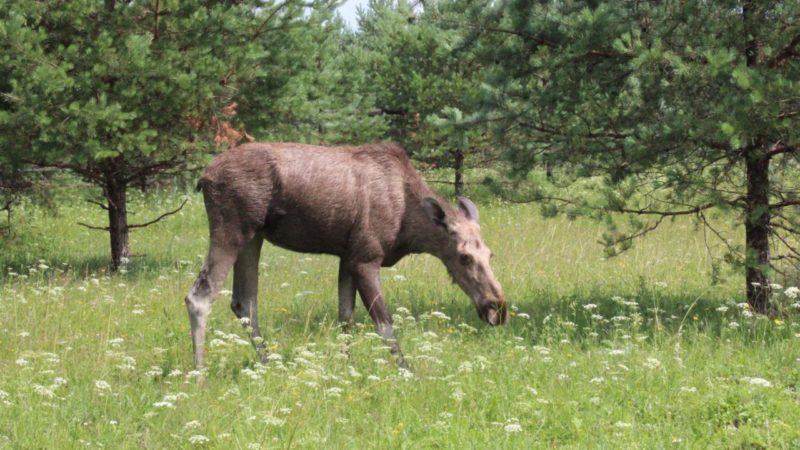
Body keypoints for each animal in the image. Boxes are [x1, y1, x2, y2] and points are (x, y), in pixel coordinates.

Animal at [186, 142, 506, 370]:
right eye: (464, 257)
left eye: (490, 254)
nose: (497, 308)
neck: (409, 228)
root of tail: (204, 178)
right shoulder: (365, 258)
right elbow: (384, 323)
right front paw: (406, 371)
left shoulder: (347, 257)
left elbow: (345, 319)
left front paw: (346, 368)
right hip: (232, 230)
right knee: (200, 296)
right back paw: (200, 375)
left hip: (254, 237)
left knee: (244, 302)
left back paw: (269, 365)